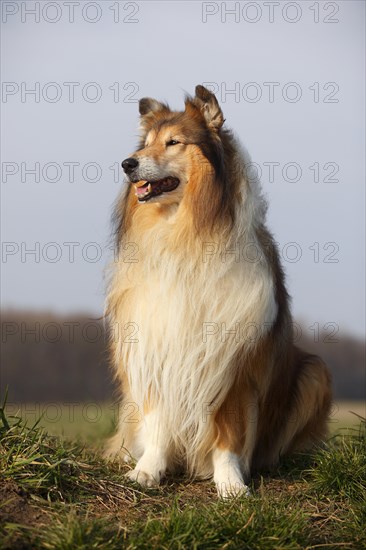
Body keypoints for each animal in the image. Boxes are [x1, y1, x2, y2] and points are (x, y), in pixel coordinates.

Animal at [106, 85, 332, 500]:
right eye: (145, 144)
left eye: (173, 142)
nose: (128, 164)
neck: (186, 234)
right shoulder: (157, 348)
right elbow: (158, 422)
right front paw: (147, 471)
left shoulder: (233, 361)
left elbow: (229, 433)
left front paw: (230, 483)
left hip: (315, 373)